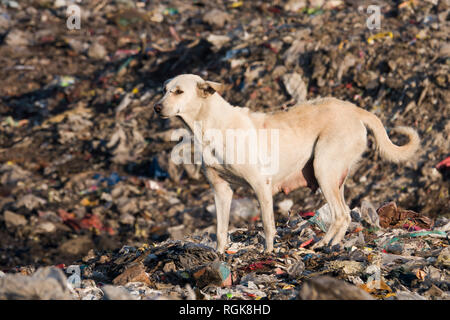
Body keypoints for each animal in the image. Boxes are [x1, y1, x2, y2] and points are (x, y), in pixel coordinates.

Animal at [154, 74, 418, 252]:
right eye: (164, 90)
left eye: (178, 91)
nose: (156, 107)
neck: (210, 124)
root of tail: (355, 109)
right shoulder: (221, 190)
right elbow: (220, 230)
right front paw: (219, 255)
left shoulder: (260, 185)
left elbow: (268, 225)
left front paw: (269, 253)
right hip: (335, 177)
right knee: (344, 215)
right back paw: (330, 244)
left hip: (323, 170)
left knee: (341, 214)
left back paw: (321, 244)